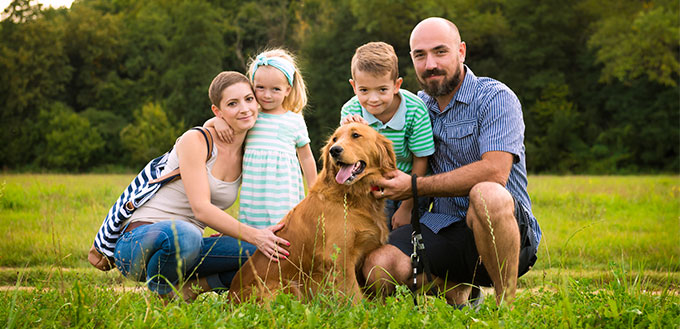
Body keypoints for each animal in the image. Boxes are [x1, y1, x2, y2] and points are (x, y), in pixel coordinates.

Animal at [231, 123, 396, 302]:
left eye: (356, 135)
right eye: (334, 139)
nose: (334, 150)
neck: (351, 195)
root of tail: (230, 296)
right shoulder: (339, 258)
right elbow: (354, 296)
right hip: (287, 287)